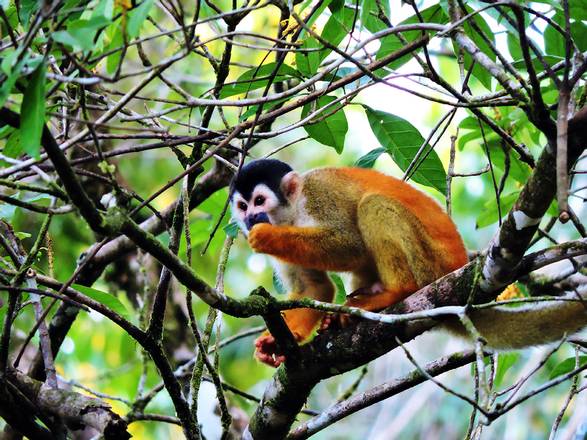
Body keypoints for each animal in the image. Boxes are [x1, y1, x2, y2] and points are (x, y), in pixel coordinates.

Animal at [231, 160, 587, 366]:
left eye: (259, 201)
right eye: (242, 205)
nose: (249, 219)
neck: (292, 213)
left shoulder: (321, 195)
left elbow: (352, 246)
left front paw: (267, 238)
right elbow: (314, 287)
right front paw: (280, 340)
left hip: (430, 265)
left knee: (373, 205)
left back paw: (395, 292)